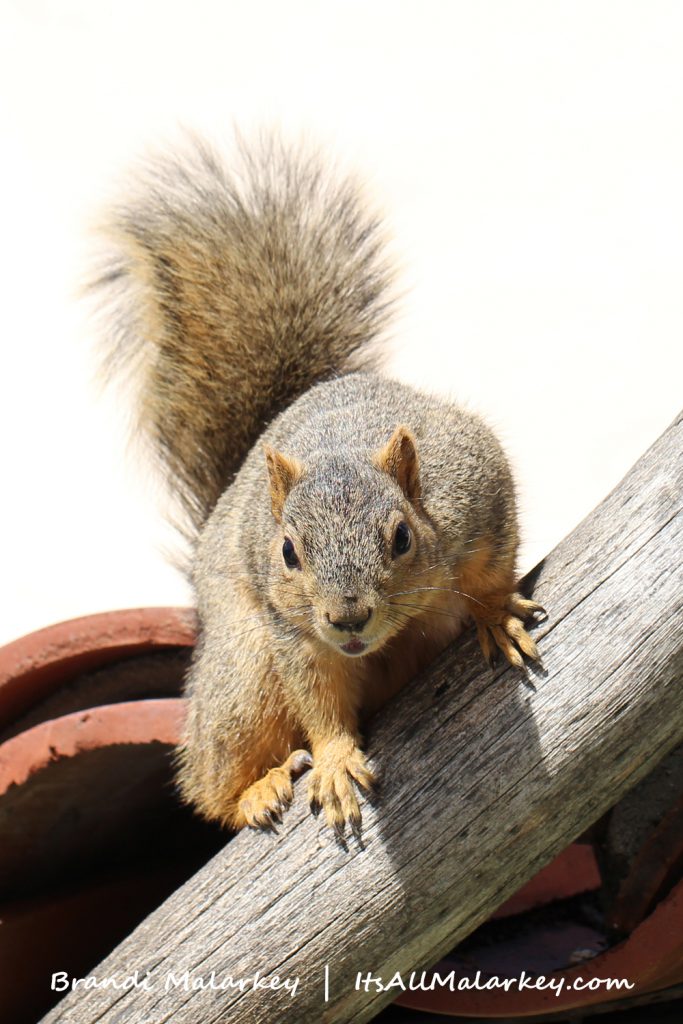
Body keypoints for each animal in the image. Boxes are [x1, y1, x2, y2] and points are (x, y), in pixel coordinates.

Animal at [91, 133, 542, 835]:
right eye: (287, 552)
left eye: (402, 537)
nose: (348, 617)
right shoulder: (296, 632)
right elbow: (319, 697)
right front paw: (333, 761)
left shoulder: (480, 498)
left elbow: (493, 574)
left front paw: (497, 617)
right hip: (244, 670)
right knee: (208, 781)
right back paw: (255, 790)